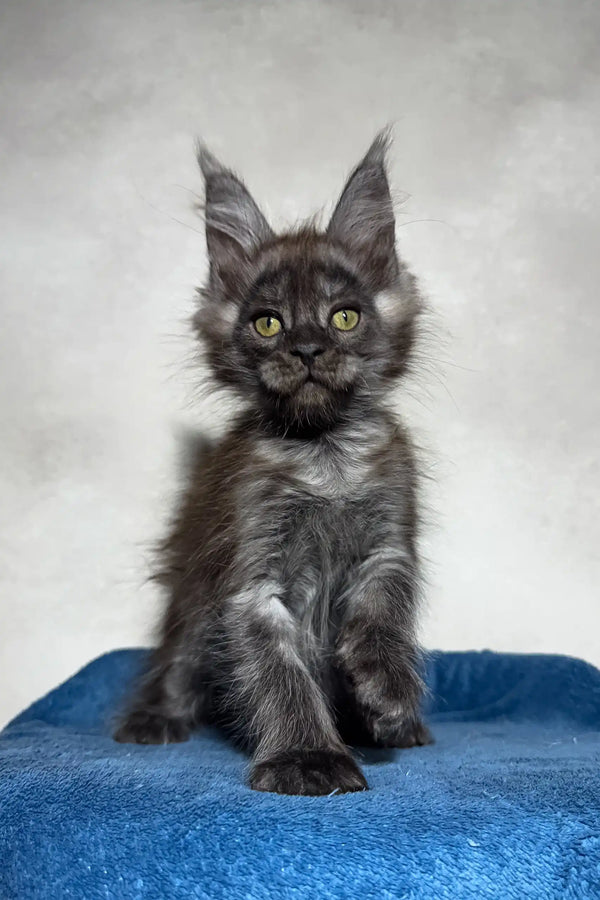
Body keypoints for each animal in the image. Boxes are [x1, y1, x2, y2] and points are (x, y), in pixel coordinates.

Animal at [113, 132, 432, 796]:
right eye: (268, 323)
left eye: (344, 316)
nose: (307, 349)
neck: (323, 455)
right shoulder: (249, 577)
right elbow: (280, 674)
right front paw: (308, 758)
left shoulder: (389, 540)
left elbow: (384, 609)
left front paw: (385, 686)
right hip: (191, 585)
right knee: (176, 655)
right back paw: (154, 717)